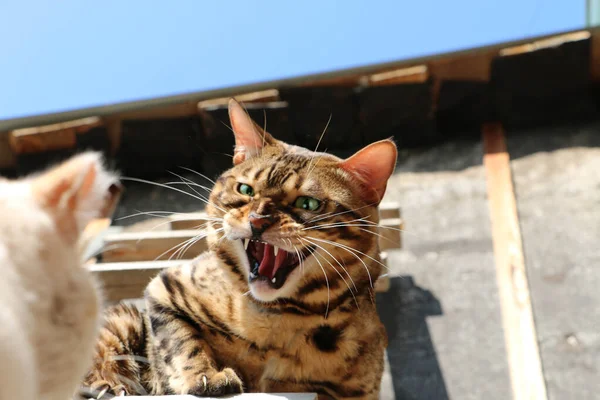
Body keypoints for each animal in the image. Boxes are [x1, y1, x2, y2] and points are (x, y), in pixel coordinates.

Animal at [82, 98, 396, 398]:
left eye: (308, 203)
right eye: (245, 190)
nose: (258, 219)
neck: (274, 321)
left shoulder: (356, 389)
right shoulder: (166, 289)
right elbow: (181, 342)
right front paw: (205, 375)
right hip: (125, 319)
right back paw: (107, 384)